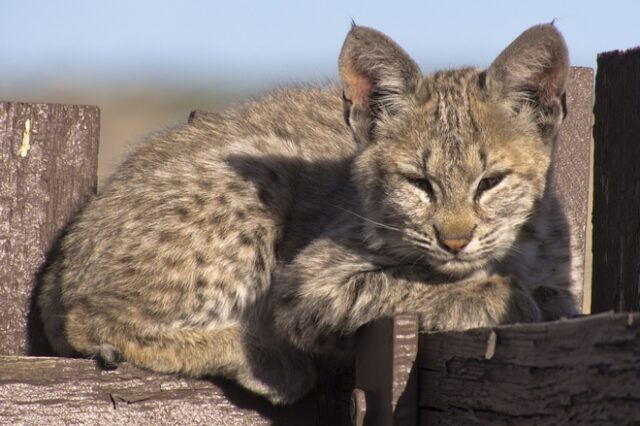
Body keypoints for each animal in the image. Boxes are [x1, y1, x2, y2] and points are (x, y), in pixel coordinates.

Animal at [38, 23, 580, 402]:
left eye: (490, 182)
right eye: (418, 183)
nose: (454, 240)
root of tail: (60, 261)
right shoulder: (309, 284)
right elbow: (404, 286)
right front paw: (508, 294)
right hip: (263, 178)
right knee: (87, 317)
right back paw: (266, 358)